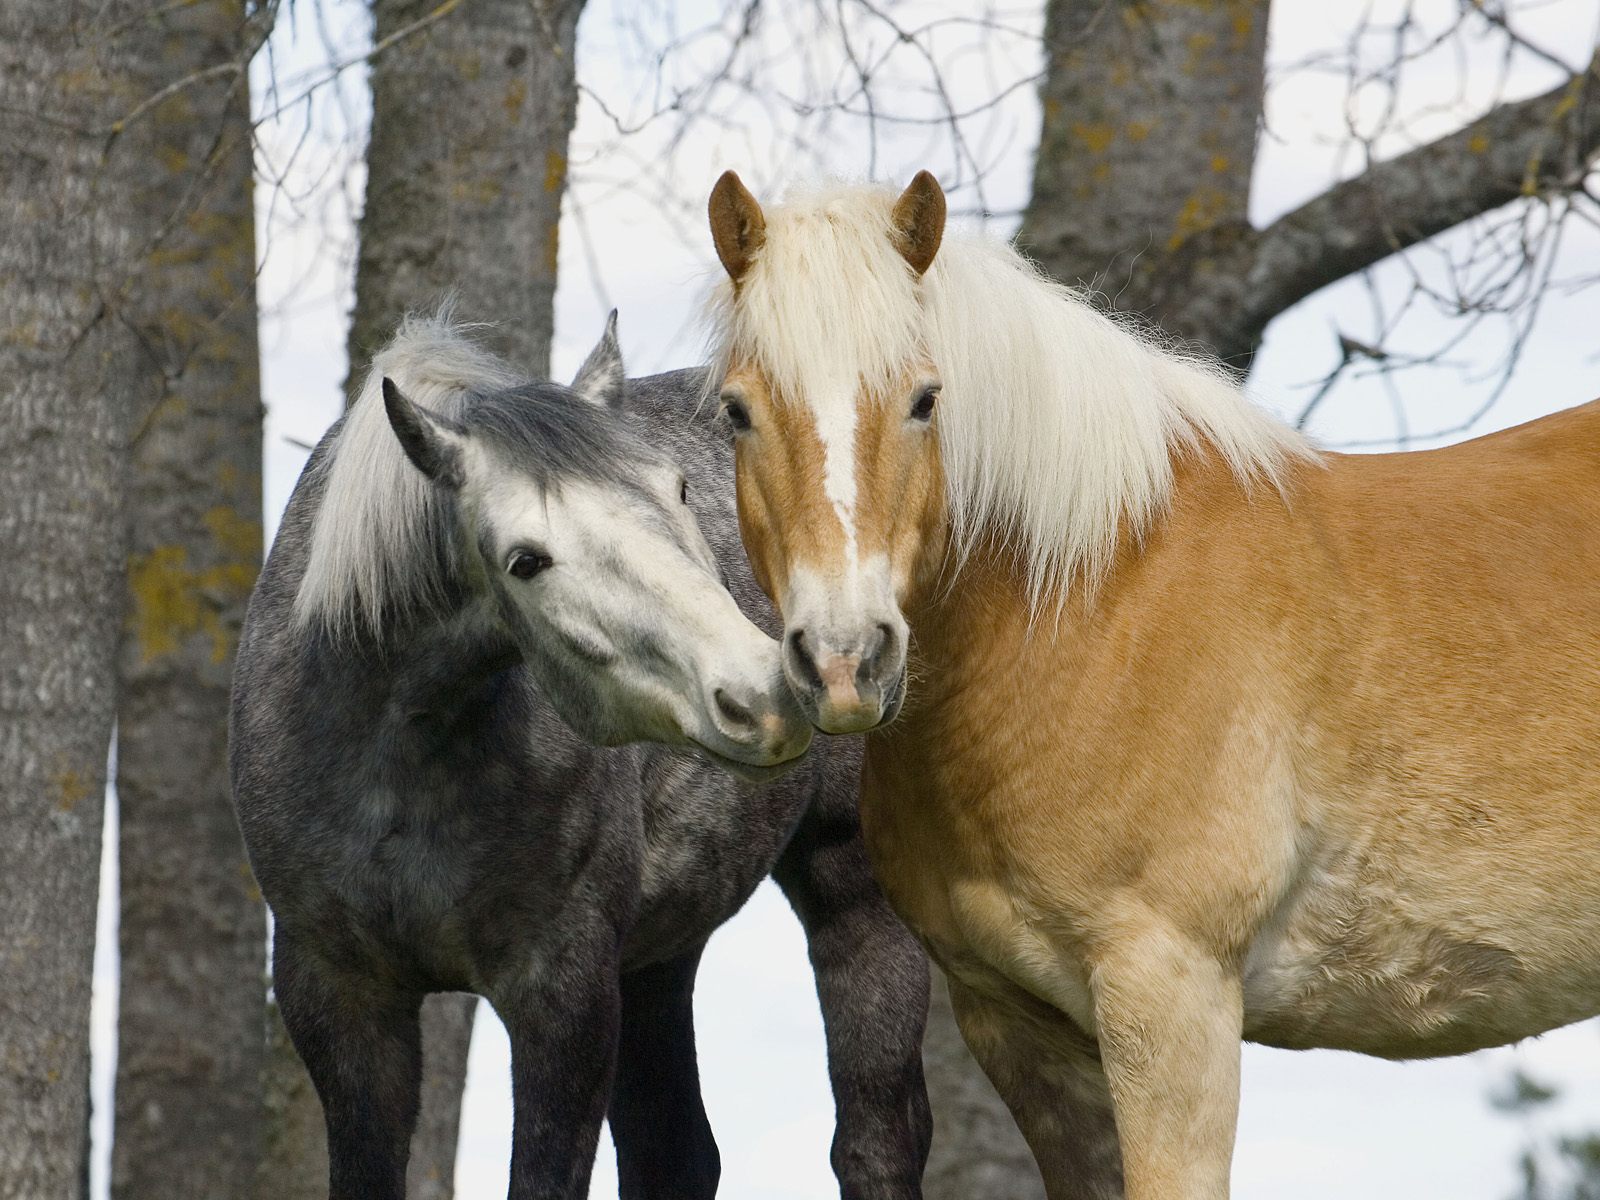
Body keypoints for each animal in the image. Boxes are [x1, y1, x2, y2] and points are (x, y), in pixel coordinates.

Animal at [229, 313, 932, 1200]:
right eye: (526, 560)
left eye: (679, 491)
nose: (765, 695)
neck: (397, 756)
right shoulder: (340, 999)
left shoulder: (562, 994)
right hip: (660, 951)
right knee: (676, 1151)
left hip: (854, 895)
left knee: (875, 1143)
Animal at [700, 170, 1600, 1200]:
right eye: (737, 411)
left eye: (926, 399)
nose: (846, 658)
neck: (1093, 604)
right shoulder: (1020, 1029)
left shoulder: (1170, 997)